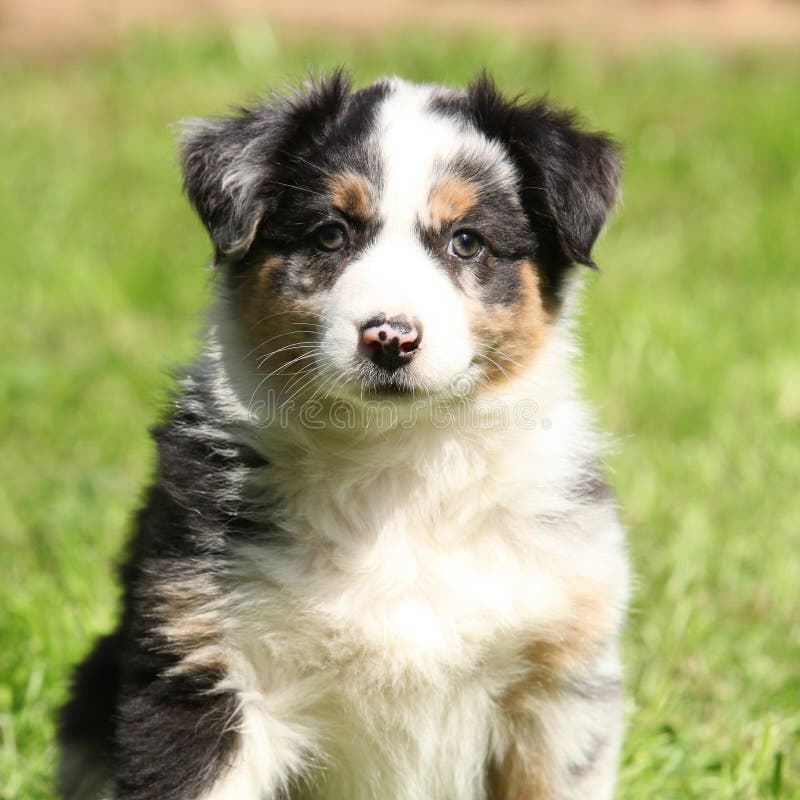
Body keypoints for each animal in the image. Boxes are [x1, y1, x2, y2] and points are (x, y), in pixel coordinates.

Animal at [57, 72, 632, 796]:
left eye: (467, 241)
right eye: (331, 235)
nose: (390, 336)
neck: (395, 466)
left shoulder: (558, 687)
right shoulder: (206, 664)